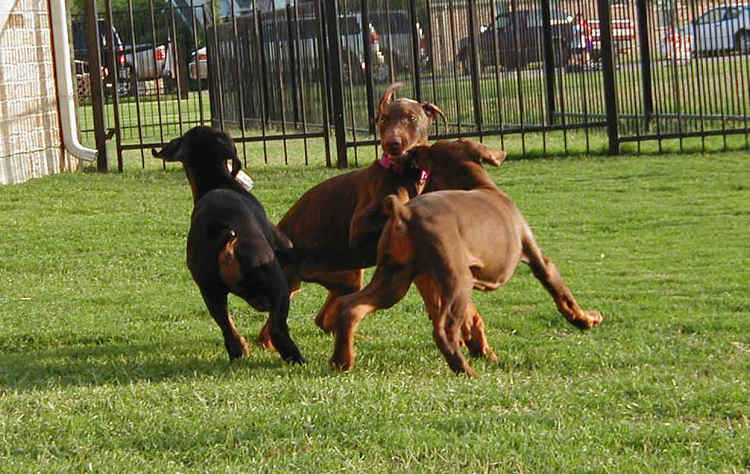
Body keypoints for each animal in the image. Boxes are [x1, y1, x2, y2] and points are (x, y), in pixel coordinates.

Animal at [153, 125, 306, 362]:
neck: (218, 182)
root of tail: (227, 239)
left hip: (210, 291)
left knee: (227, 328)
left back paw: (239, 351)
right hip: (276, 283)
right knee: (277, 329)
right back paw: (296, 358)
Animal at [258, 82, 446, 348]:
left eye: (411, 118)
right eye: (384, 119)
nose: (392, 143)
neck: (404, 174)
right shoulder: (359, 228)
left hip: (348, 279)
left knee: (322, 319)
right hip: (293, 283)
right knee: (269, 331)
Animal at [328, 139, 604, 376]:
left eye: (430, 150)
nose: (411, 152)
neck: (479, 186)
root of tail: (404, 213)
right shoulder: (539, 261)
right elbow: (563, 296)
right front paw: (587, 319)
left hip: (393, 279)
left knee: (351, 307)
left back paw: (342, 361)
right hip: (458, 281)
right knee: (444, 331)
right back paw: (466, 371)